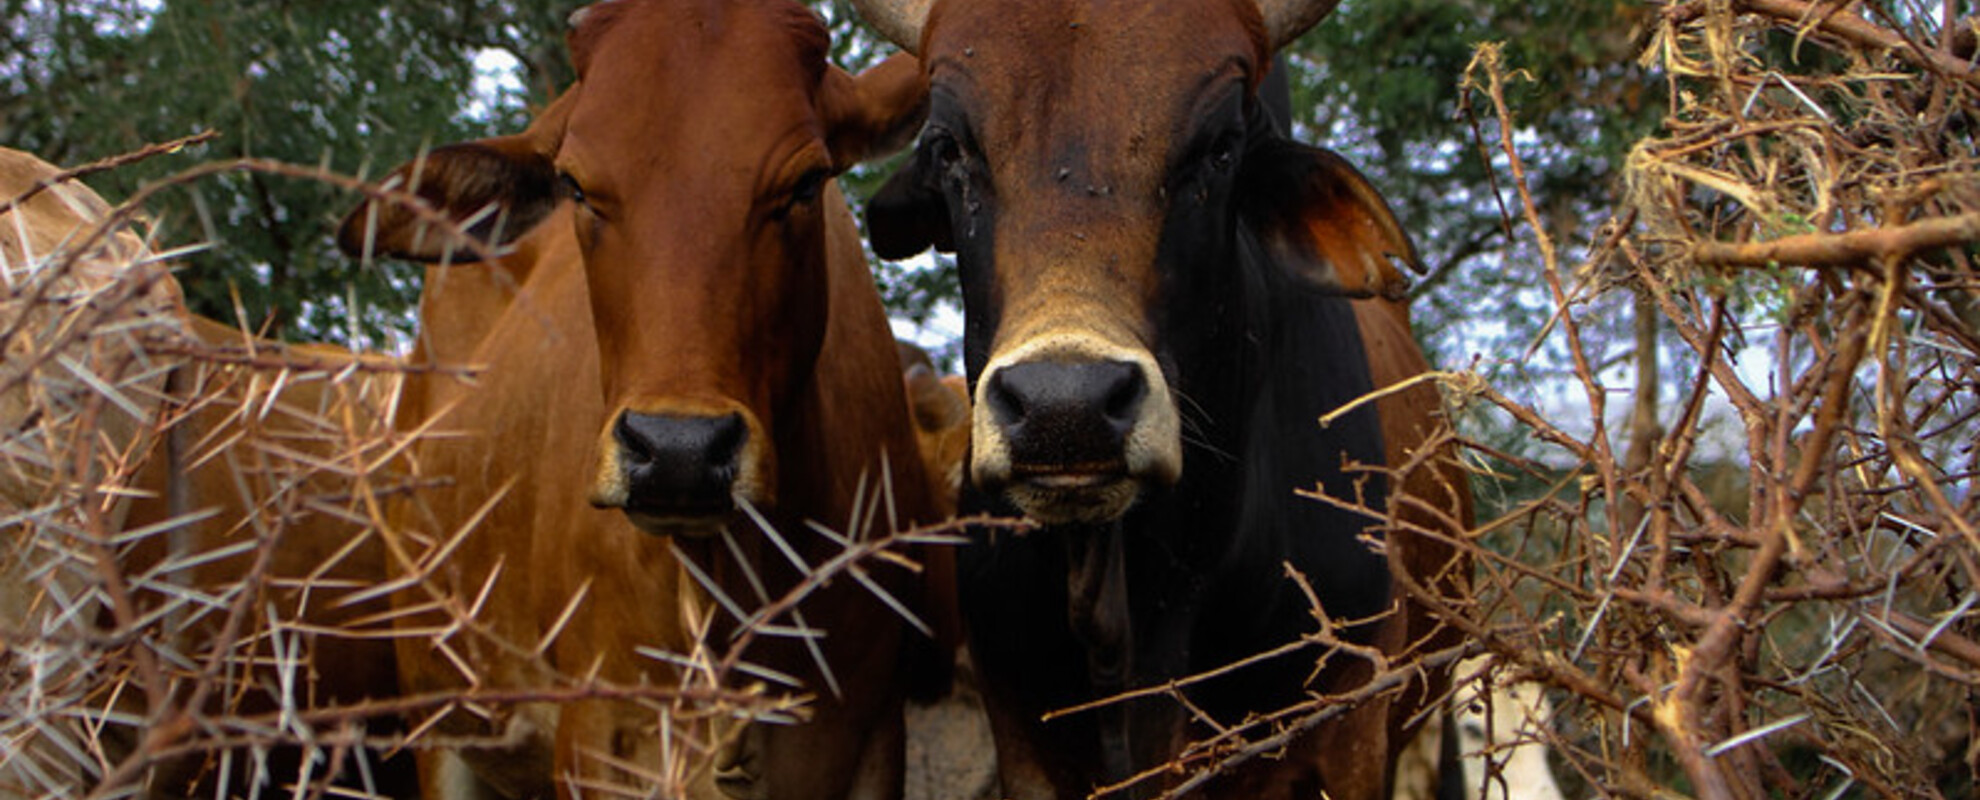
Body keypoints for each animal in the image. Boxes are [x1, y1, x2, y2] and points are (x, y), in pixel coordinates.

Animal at [334, 1, 941, 797]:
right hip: (441, 727)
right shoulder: (599, 743)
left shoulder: (869, 739)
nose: (680, 453)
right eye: (576, 185)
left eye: (808, 182)